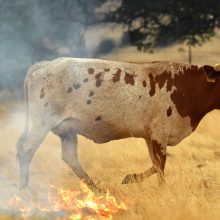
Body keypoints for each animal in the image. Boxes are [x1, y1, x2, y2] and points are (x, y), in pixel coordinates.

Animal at [16, 57, 220, 191]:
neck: (186, 86)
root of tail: (43, 64)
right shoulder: (160, 132)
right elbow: (161, 165)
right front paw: (156, 186)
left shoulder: (150, 136)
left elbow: (156, 164)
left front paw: (136, 180)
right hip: (41, 121)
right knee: (26, 148)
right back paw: (25, 189)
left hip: (67, 129)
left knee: (69, 156)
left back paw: (96, 189)